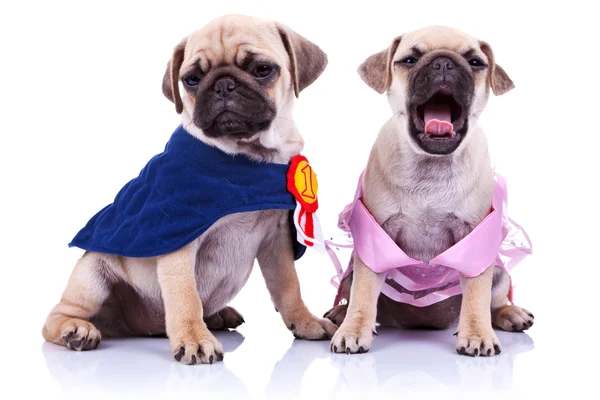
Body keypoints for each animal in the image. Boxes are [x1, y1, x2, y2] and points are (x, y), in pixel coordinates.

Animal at [42, 14, 338, 366]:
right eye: (192, 80)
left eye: (262, 70)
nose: (223, 84)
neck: (244, 161)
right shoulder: (180, 240)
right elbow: (185, 296)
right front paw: (195, 339)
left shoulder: (276, 238)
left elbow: (288, 286)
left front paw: (304, 321)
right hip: (91, 275)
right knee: (57, 316)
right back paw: (76, 329)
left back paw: (218, 315)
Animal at [328, 25, 536, 356]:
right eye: (409, 60)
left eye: (475, 62)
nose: (443, 63)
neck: (431, 165)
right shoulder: (374, 240)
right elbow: (363, 291)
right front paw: (353, 329)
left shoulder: (474, 240)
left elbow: (476, 295)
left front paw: (477, 333)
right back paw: (340, 314)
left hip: (500, 274)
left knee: (494, 302)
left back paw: (510, 313)